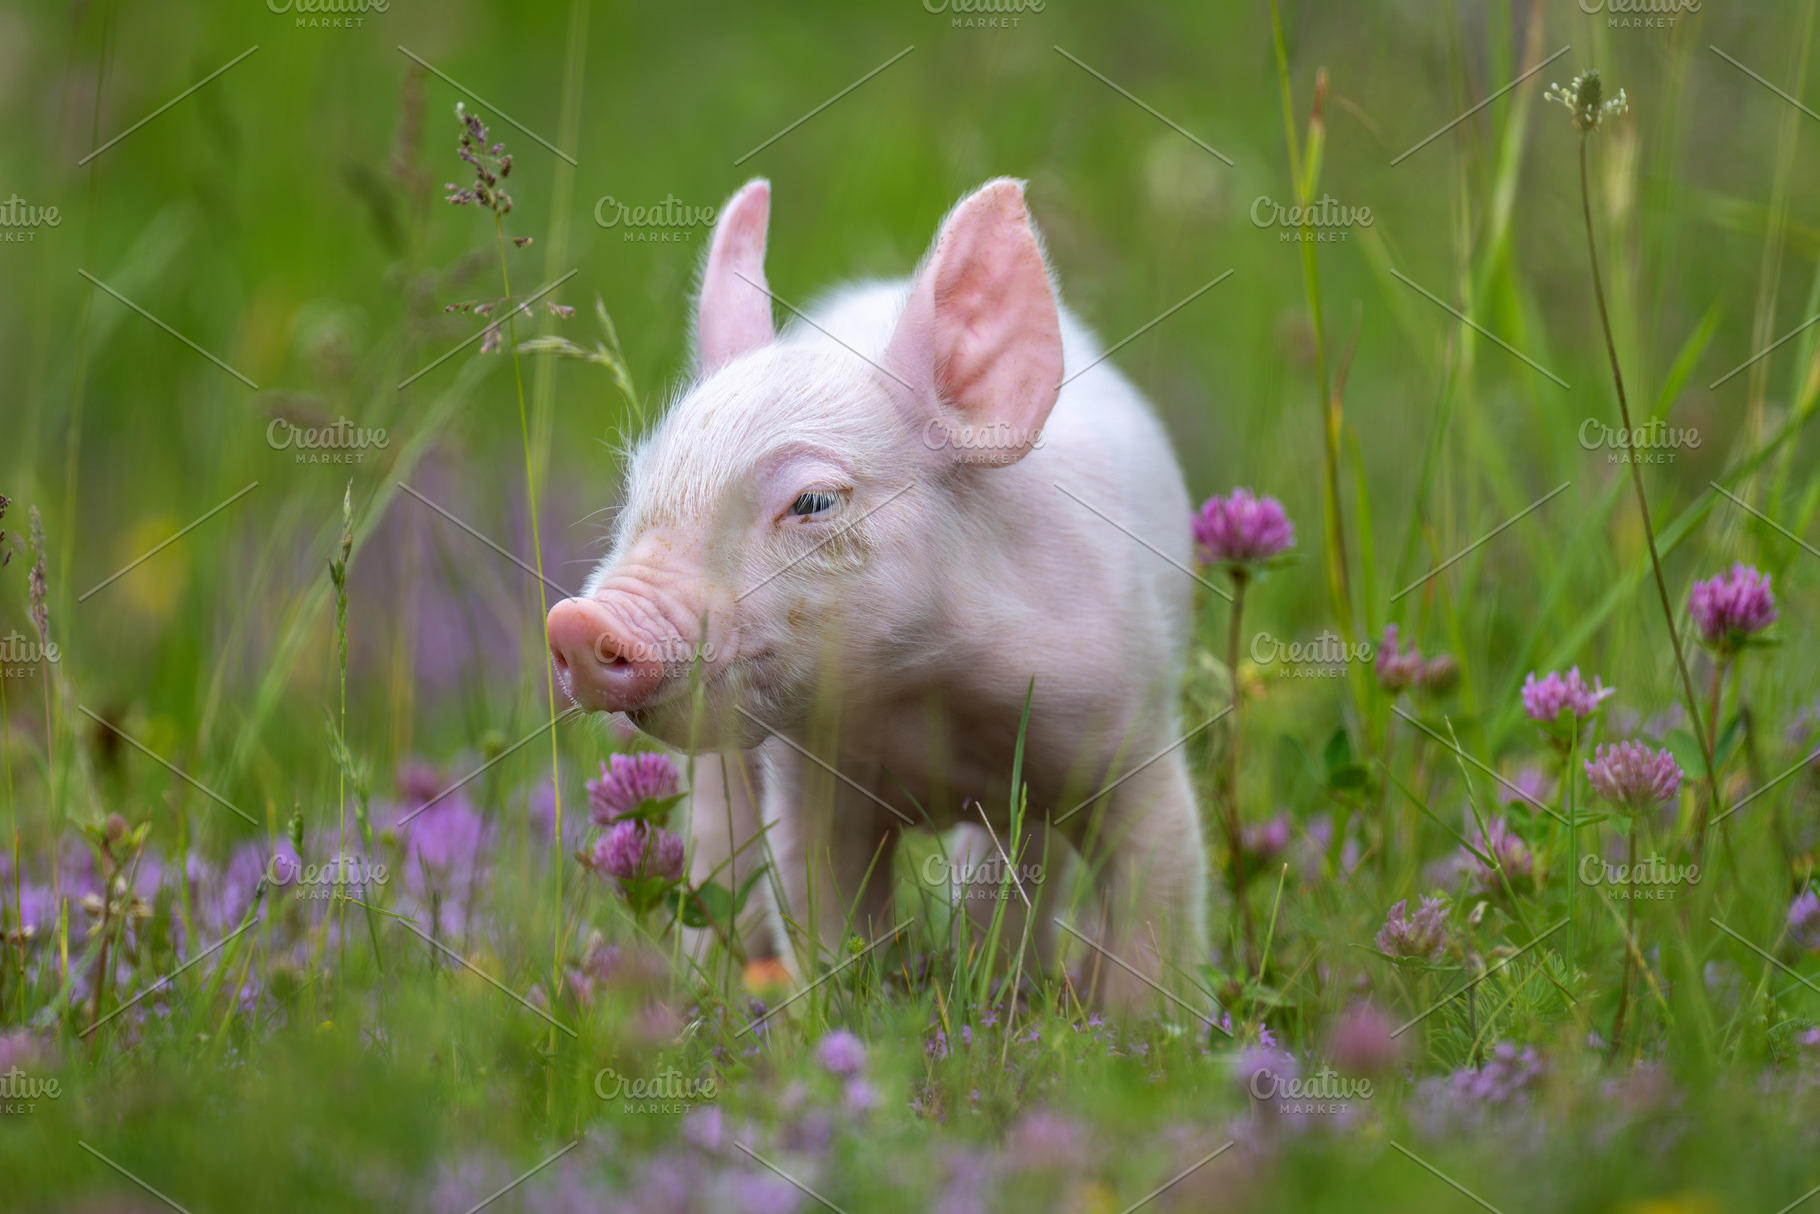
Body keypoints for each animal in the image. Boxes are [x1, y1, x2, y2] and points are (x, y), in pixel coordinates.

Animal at [546, 178, 1207, 1012]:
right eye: (638, 485)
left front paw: (1144, 1032)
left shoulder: (1130, 729)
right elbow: (822, 907)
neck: (928, 693)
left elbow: (1160, 905)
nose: (575, 621)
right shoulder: (809, 775)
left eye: (814, 502)